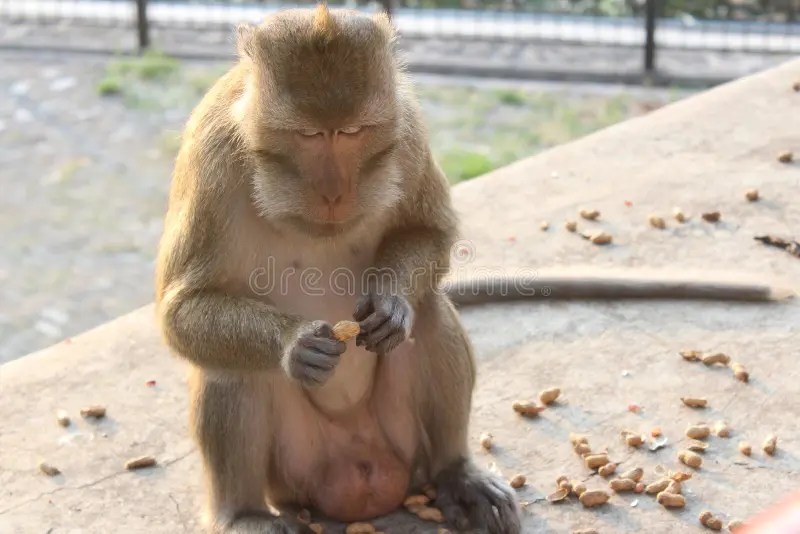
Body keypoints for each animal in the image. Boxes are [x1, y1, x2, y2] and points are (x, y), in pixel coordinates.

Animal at [155, 6, 792, 534]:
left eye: (353, 131)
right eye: (310, 135)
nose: (335, 193)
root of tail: (364, 482)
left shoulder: (407, 127)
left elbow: (428, 236)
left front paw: (390, 303)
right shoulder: (212, 154)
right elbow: (182, 309)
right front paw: (296, 345)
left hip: (401, 443)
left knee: (433, 314)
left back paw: (456, 473)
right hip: (294, 471)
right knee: (231, 370)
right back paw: (243, 514)